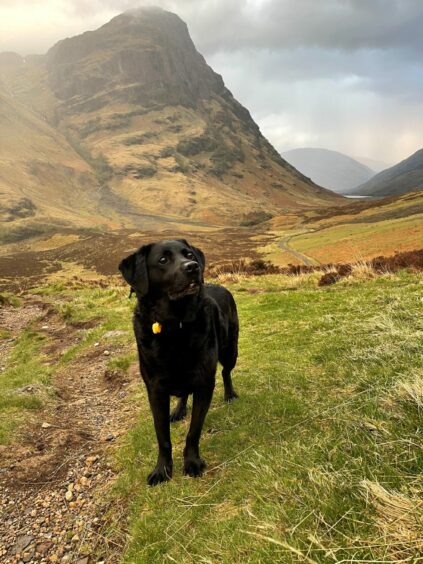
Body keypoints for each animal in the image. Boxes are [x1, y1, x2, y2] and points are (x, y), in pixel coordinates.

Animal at [119, 238, 238, 484]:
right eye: (163, 260)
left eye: (188, 254)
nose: (193, 267)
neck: (175, 326)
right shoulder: (155, 390)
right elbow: (162, 435)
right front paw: (162, 469)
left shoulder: (204, 383)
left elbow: (194, 431)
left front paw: (192, 462)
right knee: (183, 393)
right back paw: (179, 410)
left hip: (230, 350)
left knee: (225, 372)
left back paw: (229, 394)